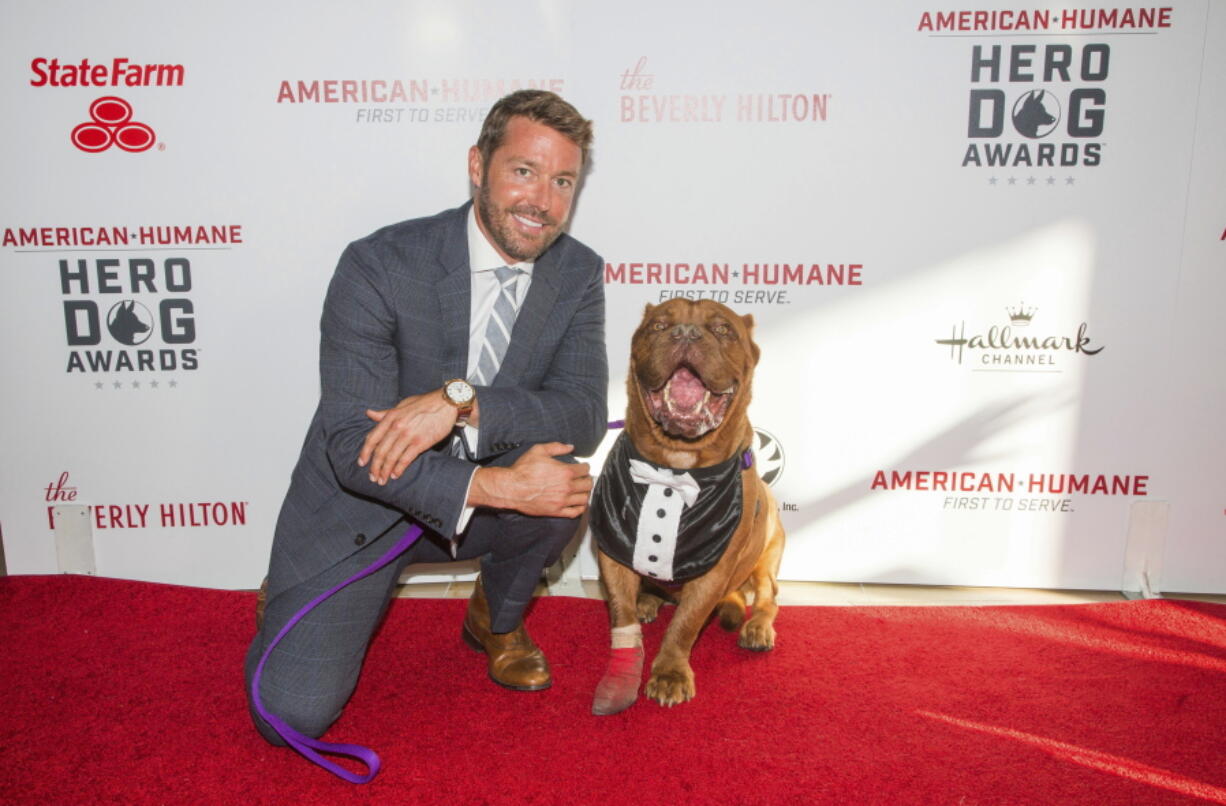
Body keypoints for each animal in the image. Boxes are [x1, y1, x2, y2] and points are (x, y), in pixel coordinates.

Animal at [590, 296, 784, 711]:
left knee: (767, 597)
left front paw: (670, 672)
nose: (685, 333)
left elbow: (685, 625)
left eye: (723, 329)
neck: (674, 466)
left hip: (766, 553)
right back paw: (649, 600)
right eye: (659, 326)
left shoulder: (714, 570)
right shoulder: (613, 552)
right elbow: (621, 612)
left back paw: (758, 627)